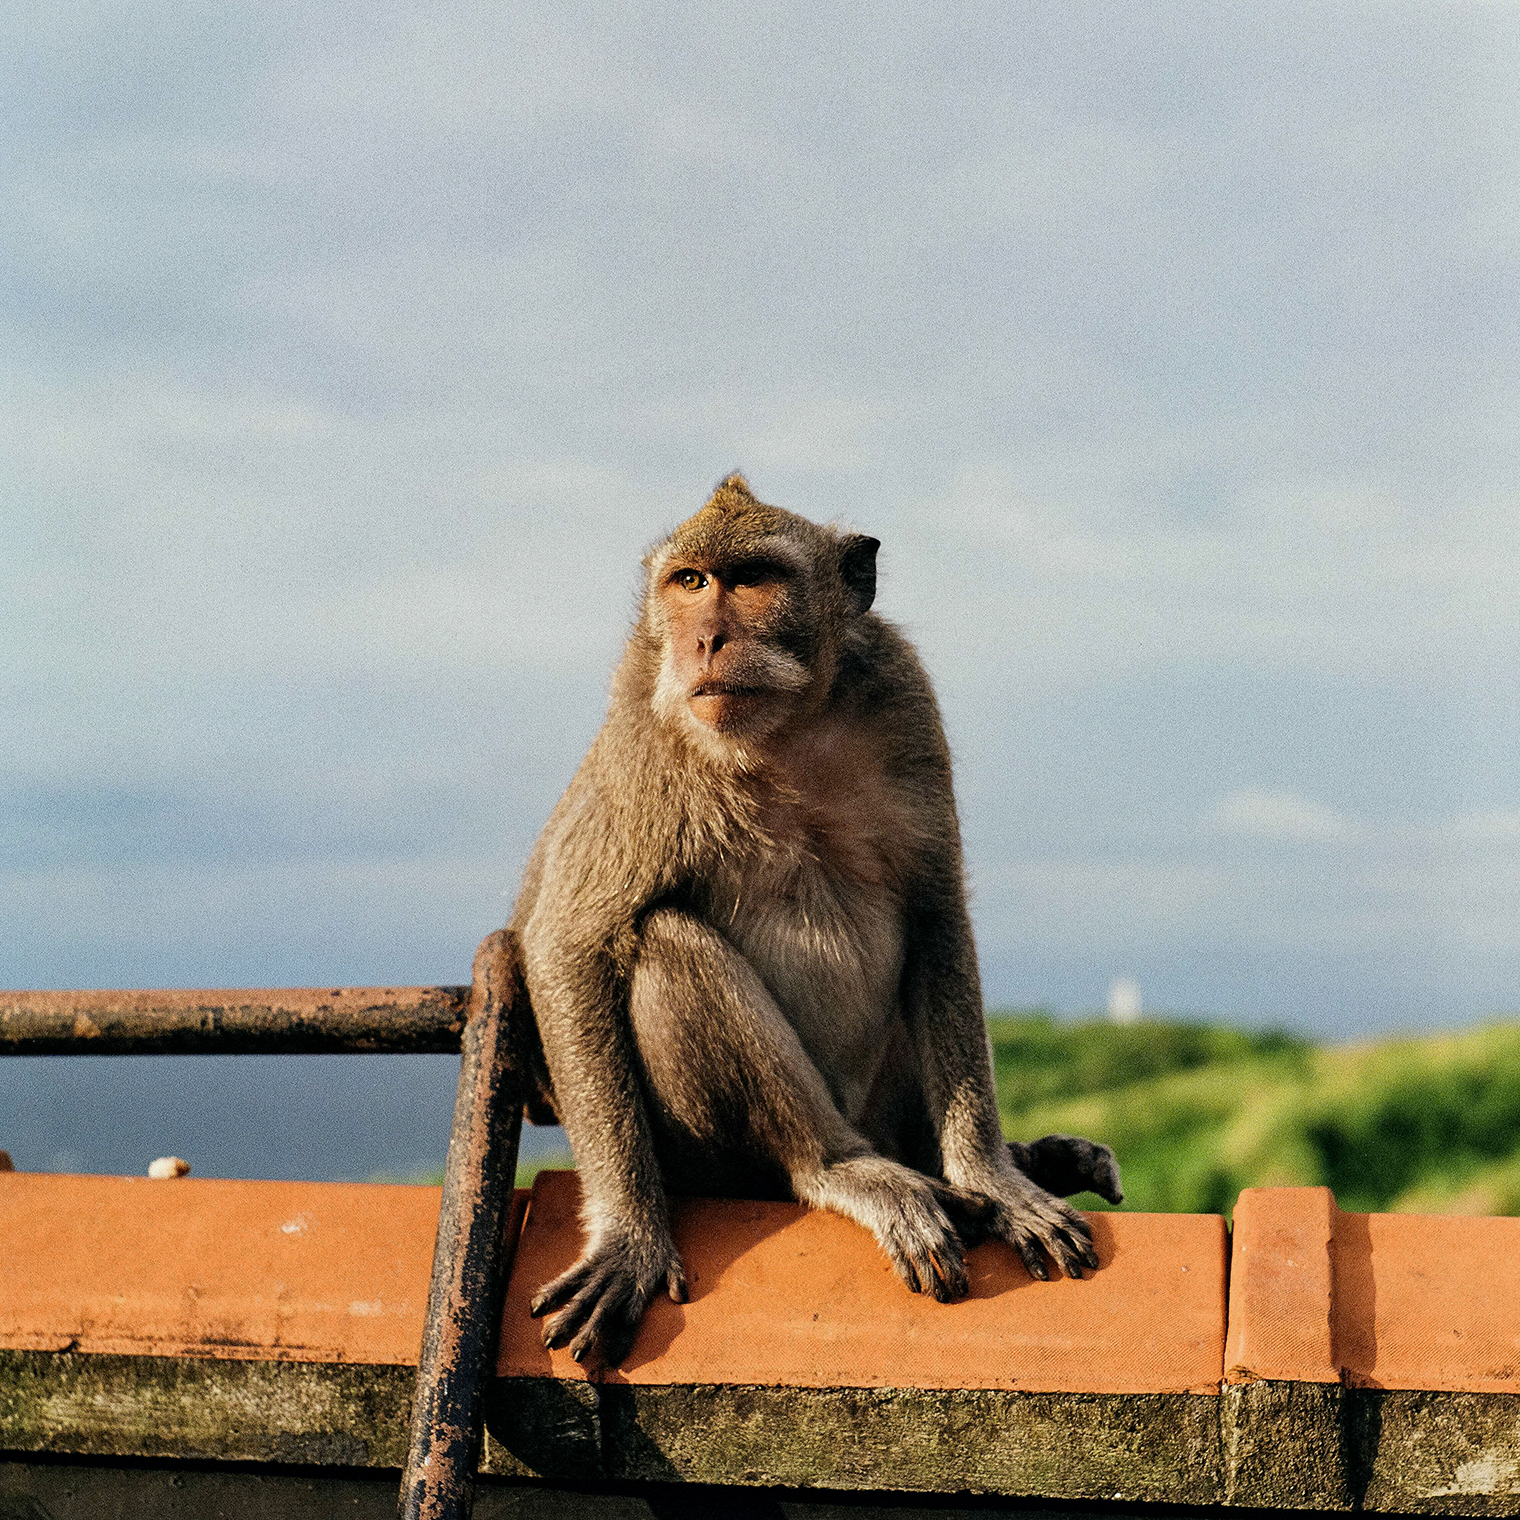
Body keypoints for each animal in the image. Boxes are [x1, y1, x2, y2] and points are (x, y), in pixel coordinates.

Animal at [510, 471, 1118, 1368]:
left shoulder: (904, 695)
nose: (707, 640)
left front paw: (991, 1177)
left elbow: (937, 913)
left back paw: (1004, 1161)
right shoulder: (645, 732)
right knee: (665, 945)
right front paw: (630, 1237)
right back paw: (841, 1168)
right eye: (689, 582)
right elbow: (568, 943)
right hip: (713, 1156)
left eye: (754, 579)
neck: (786, 730)